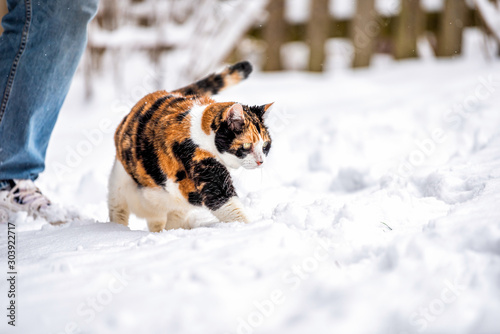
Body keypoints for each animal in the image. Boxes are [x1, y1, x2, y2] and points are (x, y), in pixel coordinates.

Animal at [108, 61, 274, 231]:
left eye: (265, 145)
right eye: (247, 145)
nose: (261, 161)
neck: (203, 131)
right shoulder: (196, 157)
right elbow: (224, 202)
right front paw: (252, 227)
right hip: (119, 185)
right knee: (119, 210)